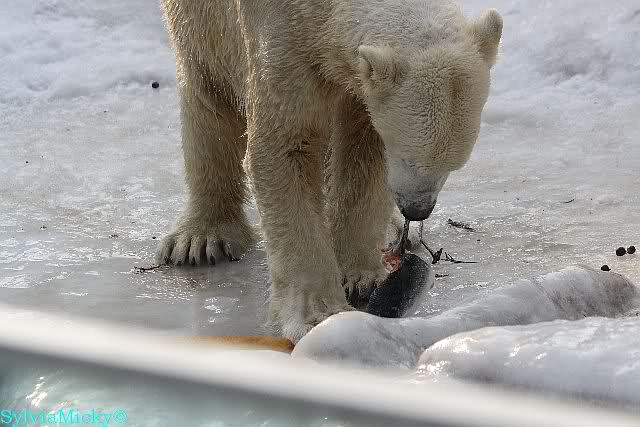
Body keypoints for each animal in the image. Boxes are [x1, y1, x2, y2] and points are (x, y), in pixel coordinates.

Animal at [157, 0, 503, 341]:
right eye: (408, 159)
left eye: (453, 166)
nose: (417, 210)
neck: (319, 11)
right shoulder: (281, 38)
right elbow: (286, 147)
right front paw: (317, 315)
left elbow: (363, 151)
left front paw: (363, 279)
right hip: (199, 22)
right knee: (206, 90)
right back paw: (201, 239)